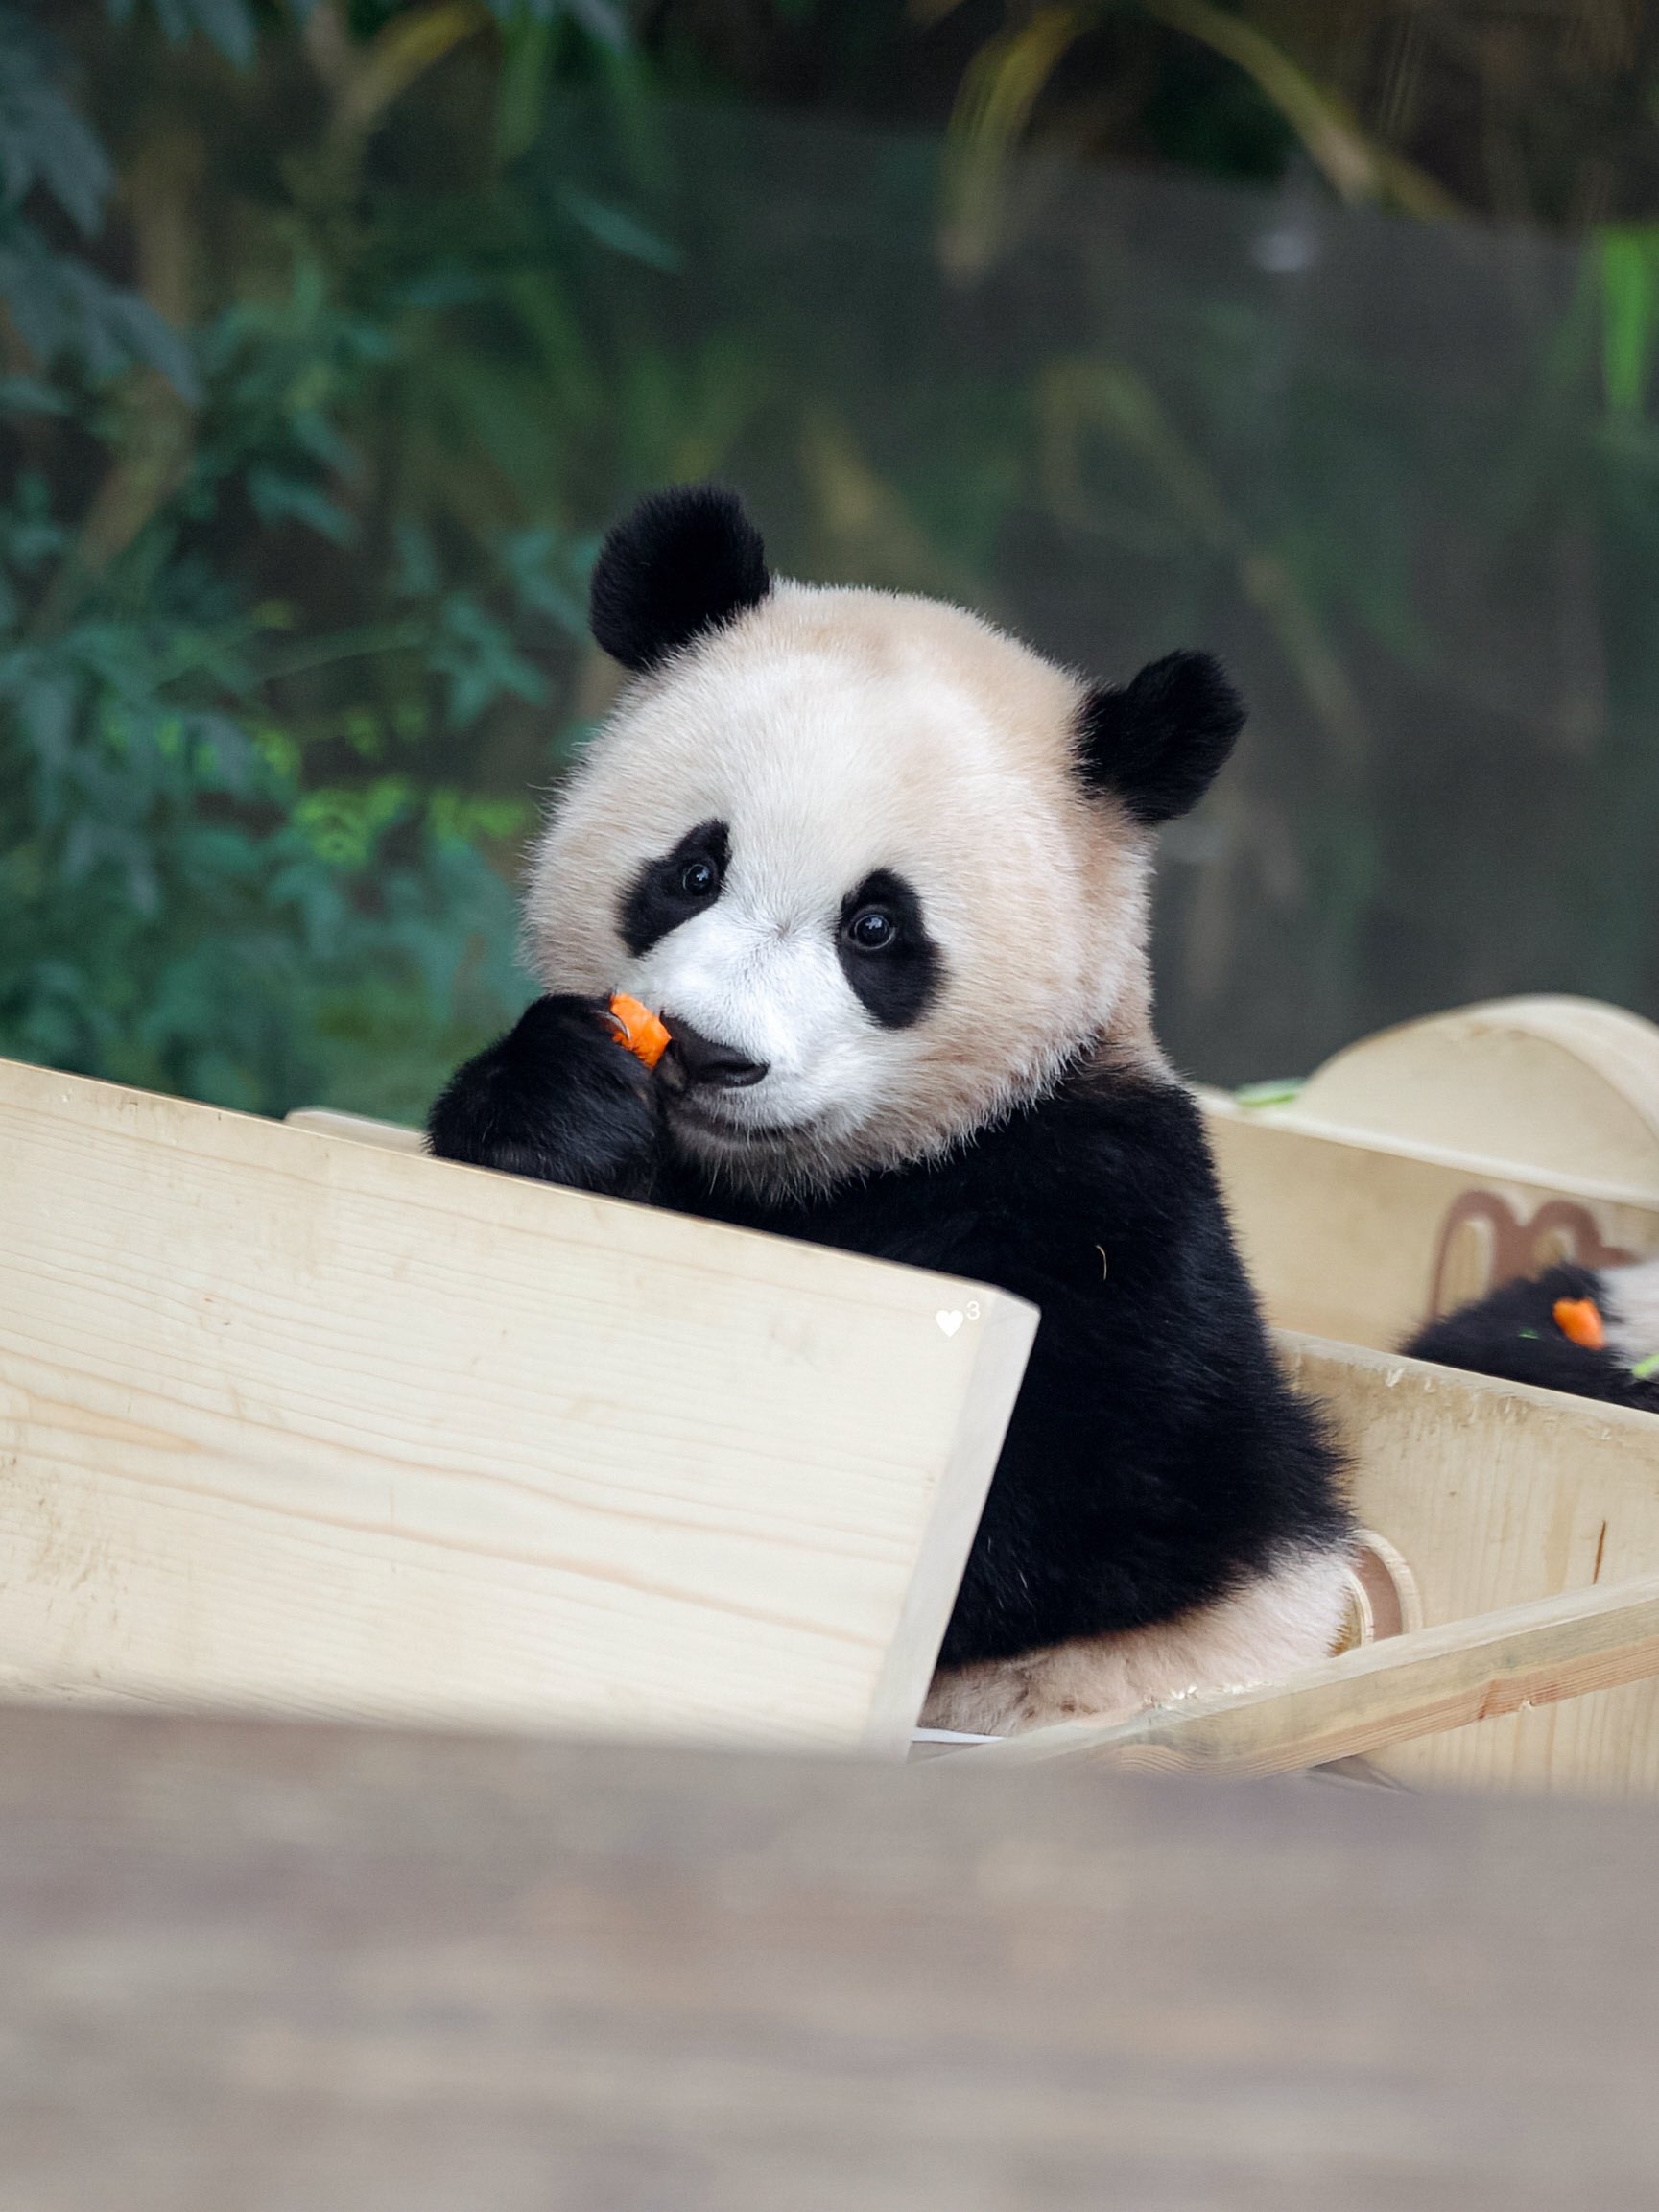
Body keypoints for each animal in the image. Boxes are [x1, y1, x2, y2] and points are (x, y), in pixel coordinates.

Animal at [436, 480, 1353, 1724]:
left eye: (876, 927)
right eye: (693, 870)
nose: (708, 1054)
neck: (793, 1179)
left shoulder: (1104, 1203)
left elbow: (1077, 1507)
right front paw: (564, 1105)